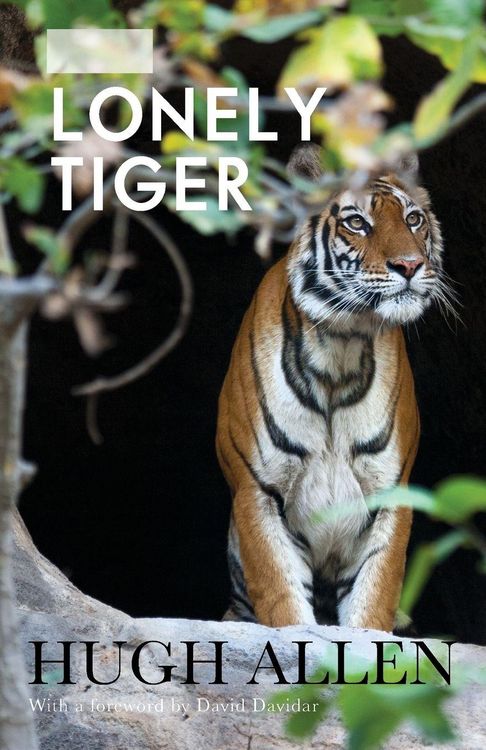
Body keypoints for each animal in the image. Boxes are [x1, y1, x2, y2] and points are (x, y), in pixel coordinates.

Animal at [216, 145, 448, 632]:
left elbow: (373, 600)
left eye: (413, 219)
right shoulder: (256, 491)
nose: (410, 265)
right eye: (357, 222)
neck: (340, 350)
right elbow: (283, 602)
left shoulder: (390, 494)